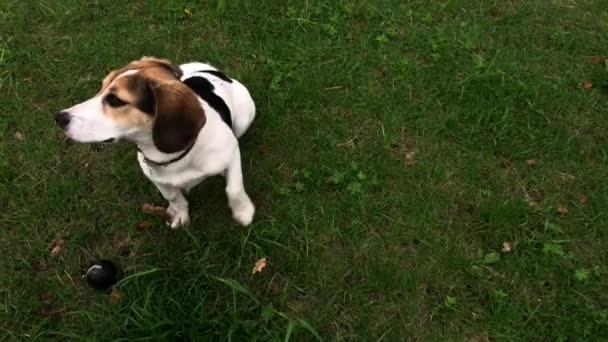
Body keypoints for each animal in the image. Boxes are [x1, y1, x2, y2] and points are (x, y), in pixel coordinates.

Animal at [55, 57, 255, 228]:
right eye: (101, 88)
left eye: (115, 100)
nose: (59, 118)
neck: (175, 156)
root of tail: (216, 73)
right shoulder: (155, 176)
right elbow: (172, 196)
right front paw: (179, 213)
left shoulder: (232, 152)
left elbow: (234, 188)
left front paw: (243, 212)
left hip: (244, 119)